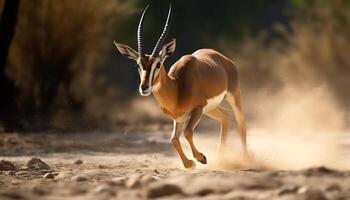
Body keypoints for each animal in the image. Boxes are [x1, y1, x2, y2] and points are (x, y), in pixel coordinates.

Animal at [113, 4, 247, 169]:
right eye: (138, 65)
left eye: (158, 64)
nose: (144, 87)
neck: (177, 88)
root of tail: (223, 59)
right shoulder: (179, 117)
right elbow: (173, 139)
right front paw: (190, 163)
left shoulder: (197, 108)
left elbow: (188, 132)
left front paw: (201, 158)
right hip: (210, 109)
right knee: (226, 117)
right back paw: (220, 158)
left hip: (233, 96)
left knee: (241, 124)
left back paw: (247, 159)